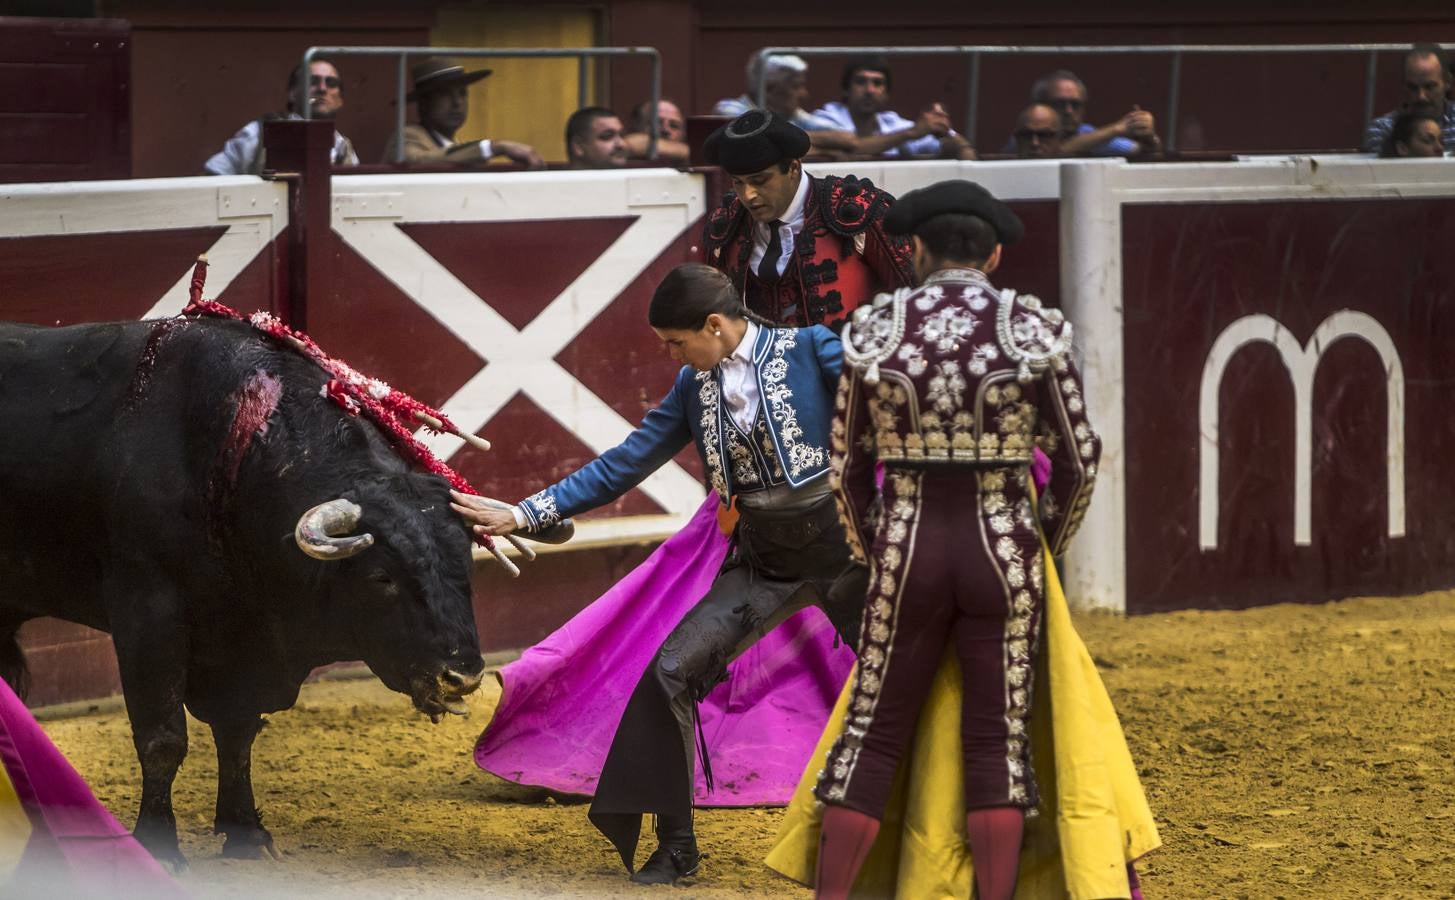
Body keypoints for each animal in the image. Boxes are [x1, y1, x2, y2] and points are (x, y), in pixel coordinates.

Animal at [0, 318, 488, 866]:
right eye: (383, 578)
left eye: (465, 566)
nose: (462, 676)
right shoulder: (146, 613)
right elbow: (163, 738)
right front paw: (159, 845)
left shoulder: (244, 641)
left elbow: (237, 733)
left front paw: (245, 831)